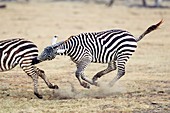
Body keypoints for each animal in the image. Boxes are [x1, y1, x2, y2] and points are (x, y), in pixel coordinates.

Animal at [32, 20, 162, 88]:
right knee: (112, 67)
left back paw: (109, 85)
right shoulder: (80, 62)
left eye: (48, 56)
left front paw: (86, 85)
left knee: (121, 71)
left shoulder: (86, 59)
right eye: (43, 50)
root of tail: (133, 37)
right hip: (113, 55)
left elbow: (77, 74)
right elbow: (81, 74)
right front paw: (93, 83)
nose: (34, 60)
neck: (72, 47)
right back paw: (96, 77)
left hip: (122, 55)